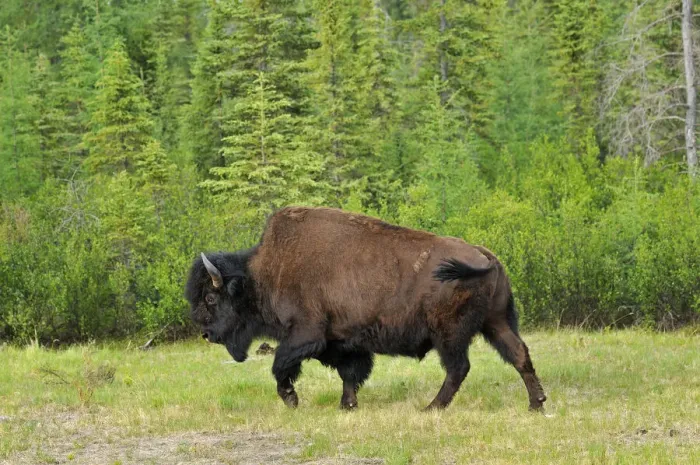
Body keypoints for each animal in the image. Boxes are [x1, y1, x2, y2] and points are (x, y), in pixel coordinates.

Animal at [185, 207, 546, 411]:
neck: (264, 272)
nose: (206, 333)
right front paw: (347, 405)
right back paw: (537, 404)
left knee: (458, 368)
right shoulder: (346, 342)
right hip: (496, 322)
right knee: (518, 354)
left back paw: (432, 408)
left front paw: (291, 399)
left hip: (450, 333)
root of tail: (486, 256)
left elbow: (281, 364)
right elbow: (351, 373)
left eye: (211, 298)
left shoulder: (306, 334)